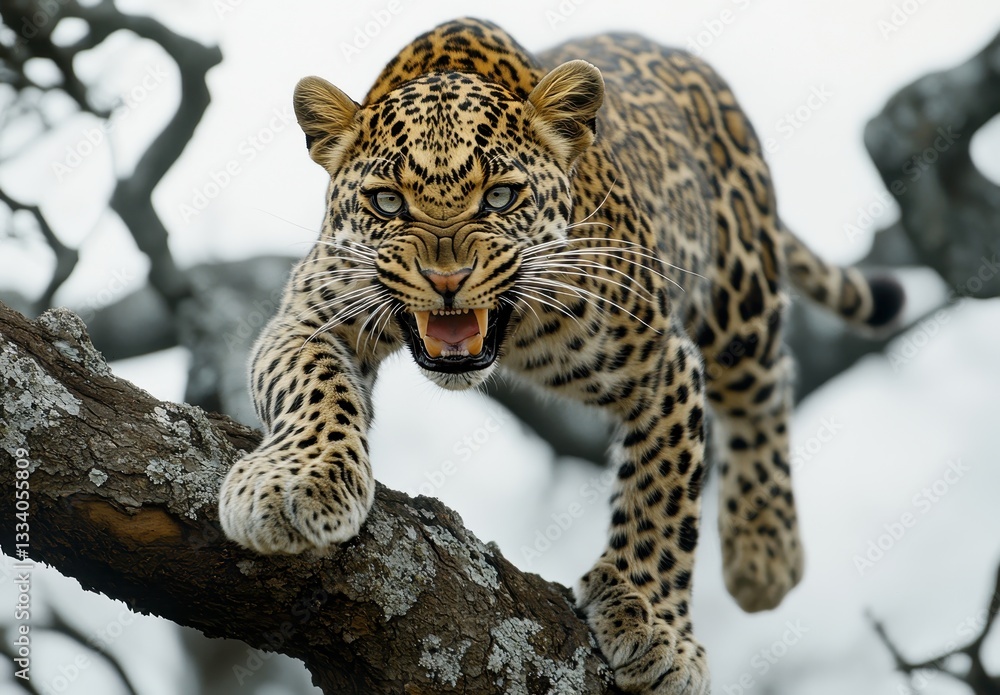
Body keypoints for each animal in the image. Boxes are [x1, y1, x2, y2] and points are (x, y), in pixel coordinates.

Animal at [218, 18, 904, 694]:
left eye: (500, 197)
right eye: (388, 202)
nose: (447, 279)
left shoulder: (663, 363)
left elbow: (663, 494)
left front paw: (654, 625)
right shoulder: (311, 317)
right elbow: (314, 386)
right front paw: (295, 483)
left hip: (743, 286)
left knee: (765, 384)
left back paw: (765, 554)